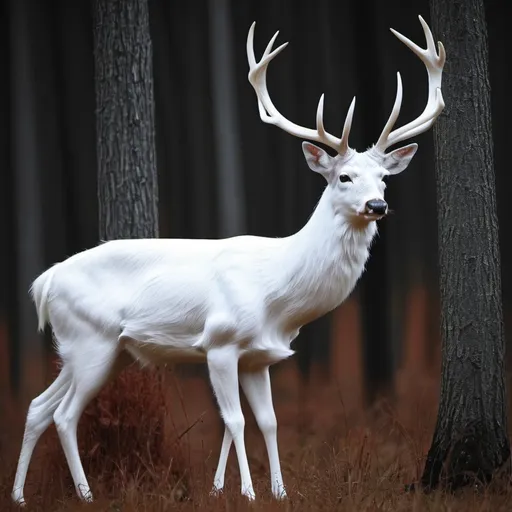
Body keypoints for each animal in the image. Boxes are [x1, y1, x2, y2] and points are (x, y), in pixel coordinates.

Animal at [12, 15, 444, 504]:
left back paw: (20, 495)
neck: (277, 294)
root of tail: (44, 282)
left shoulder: (259, 357)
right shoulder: (219, 343)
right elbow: (234, 420)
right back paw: (86, 495)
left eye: (385, 178)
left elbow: (269, 421)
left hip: (97, 349)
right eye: (344, 177)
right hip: (91, 341)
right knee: (64, 414)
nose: (377, 205)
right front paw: (247, 493)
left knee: (37, 406)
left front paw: (278, 492)